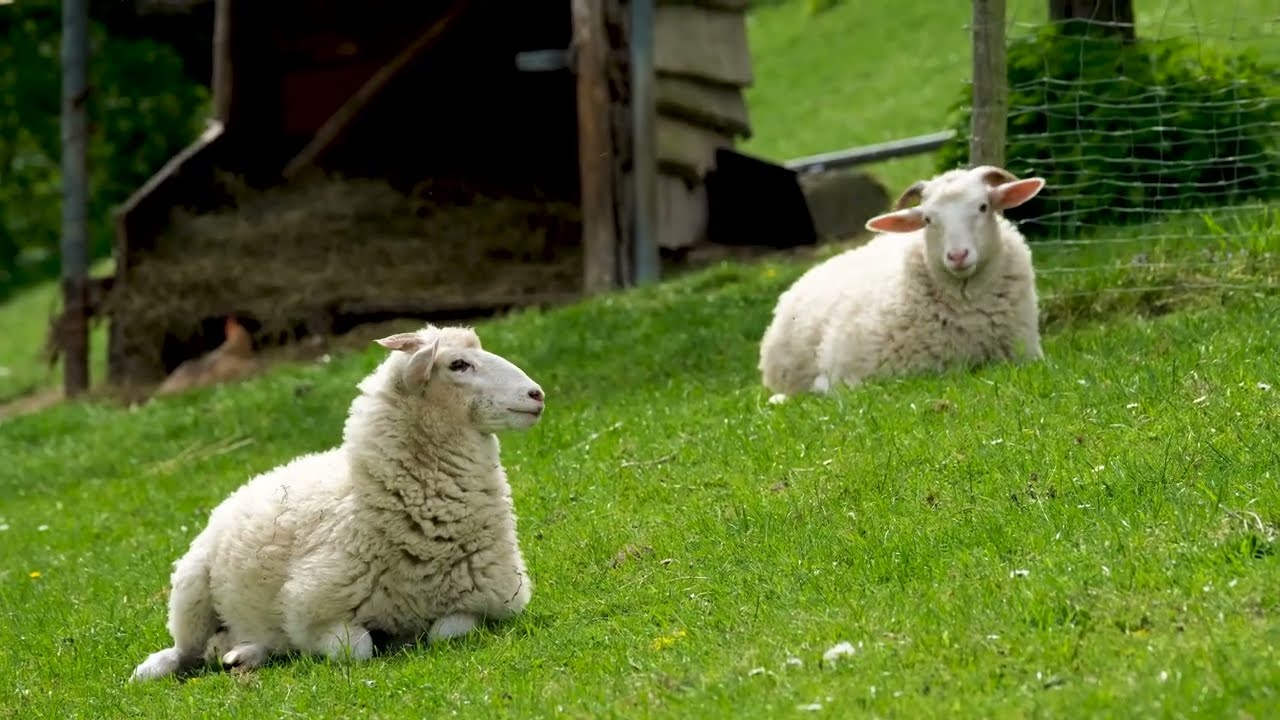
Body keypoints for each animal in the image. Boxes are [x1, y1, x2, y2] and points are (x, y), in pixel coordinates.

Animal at [129, 323, 546, 681]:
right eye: (458, 364)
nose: (537, 394)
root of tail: (255, 479)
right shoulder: (311, 610)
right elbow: (357, 647)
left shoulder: (482, 604)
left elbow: (446, 632)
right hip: (190, 586)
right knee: (185, 651)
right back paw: (156, 668)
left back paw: (241, 653)